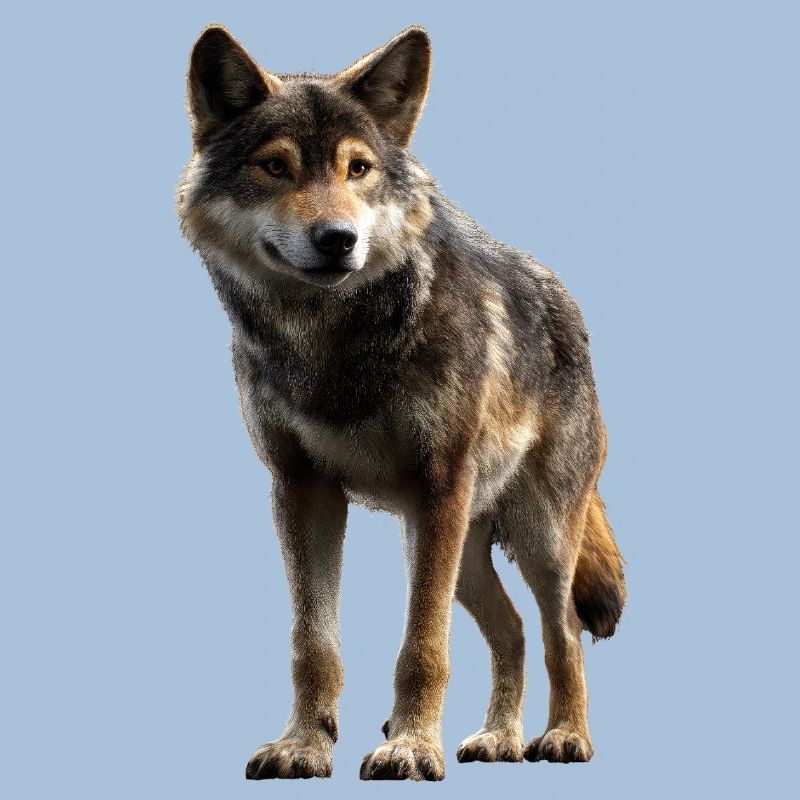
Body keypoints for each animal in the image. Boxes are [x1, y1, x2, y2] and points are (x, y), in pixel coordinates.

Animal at [177, 23, 625, 781]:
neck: (332, 342)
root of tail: (567, 303)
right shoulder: (302, 489)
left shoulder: (439, 484)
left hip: (530, 536)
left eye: (358, 168)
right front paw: (303, 745)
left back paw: (564, 737)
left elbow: (423, 646)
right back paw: (498, 739)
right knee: (511, 633)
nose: (338, 239)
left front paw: (411, 747)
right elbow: (313, 645)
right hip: (458, 548)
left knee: (560, 631)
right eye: (276, 168)